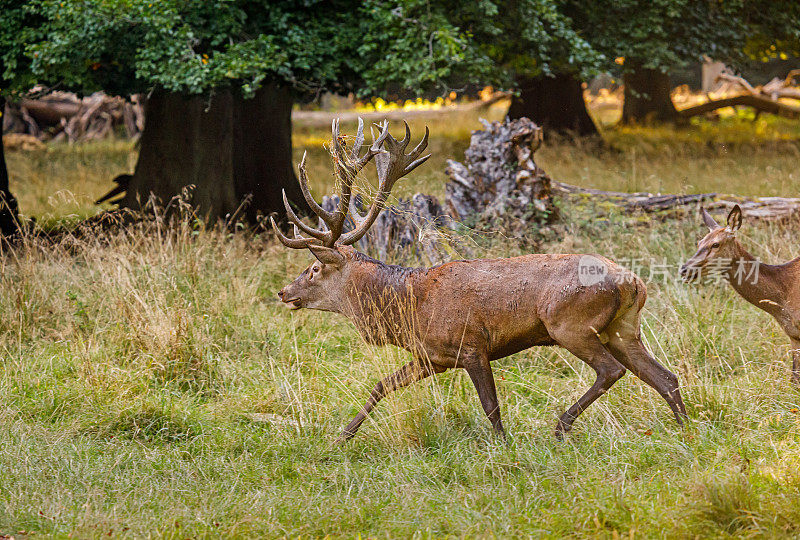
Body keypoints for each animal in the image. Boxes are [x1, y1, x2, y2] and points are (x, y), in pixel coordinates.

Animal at [276, 120, 688, 440]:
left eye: (313, 269)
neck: (409, 309)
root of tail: (634, 282)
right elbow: (382, 385)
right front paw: (343, 435)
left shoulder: (471, 345)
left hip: (570, 323)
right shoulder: (432, 357)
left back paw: (561, 425)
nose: (283, 292)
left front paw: (504, 446)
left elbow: (491, 406)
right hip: (624, 328)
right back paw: (687, 429)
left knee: (611, 370)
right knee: (665, 377)